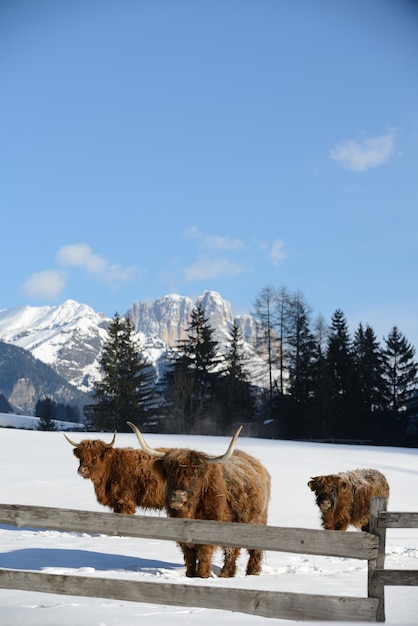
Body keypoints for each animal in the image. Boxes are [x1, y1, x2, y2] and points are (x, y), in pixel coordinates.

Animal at [127, 422, 272, 576]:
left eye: (194, 475)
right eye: (170, 473)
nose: (178, 496)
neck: (191, 513)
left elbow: (203, 554)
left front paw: (202, 576)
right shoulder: (182, 535)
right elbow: (189, 556)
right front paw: (190, 575)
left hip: (256, 521)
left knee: (250, 551)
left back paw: (249, 573)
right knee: (233, 551)